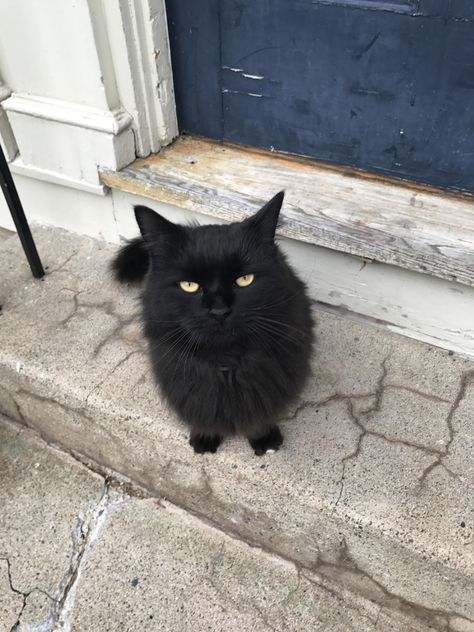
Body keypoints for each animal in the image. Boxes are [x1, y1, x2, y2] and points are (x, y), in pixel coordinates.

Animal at [112, 193, 314, 454]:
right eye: (189, 285)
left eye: (245, 279)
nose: (219, 311)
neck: (225, 364)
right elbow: (204, 415)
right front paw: (205, 439)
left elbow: (258, 418)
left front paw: (265, 440)